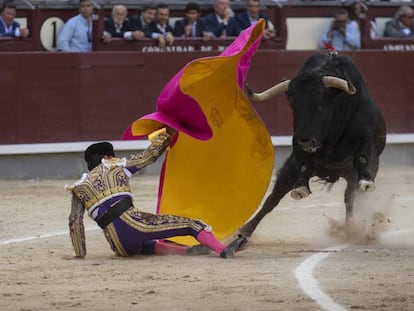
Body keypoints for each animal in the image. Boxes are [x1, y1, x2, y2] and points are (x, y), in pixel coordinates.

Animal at [239, 54, 388, 239]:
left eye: (320, 104)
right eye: (293, 105)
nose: (306, 141)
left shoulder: (365, 133)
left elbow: (363, 155)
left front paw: (366, 181)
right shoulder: (297, 144)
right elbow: (303, 164)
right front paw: (301, 187)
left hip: (354, 174)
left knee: (350, 198)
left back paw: (351, 227)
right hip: (290, 167)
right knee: (273, 198)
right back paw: (242, 234)